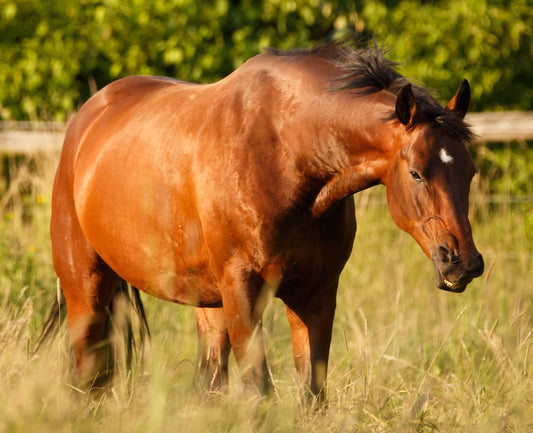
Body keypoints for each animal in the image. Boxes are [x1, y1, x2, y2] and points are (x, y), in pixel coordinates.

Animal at [41, 42, 482, 400]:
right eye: (417, 174)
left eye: (470, 172)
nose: (463, 263)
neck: (287, 152)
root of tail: (87, 120)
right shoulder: (244, 291)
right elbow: (258, 394)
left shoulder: (316, 295)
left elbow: (312, 396)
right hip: (87, 292)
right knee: (83, 375)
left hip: (208, 304)